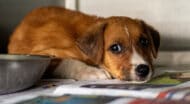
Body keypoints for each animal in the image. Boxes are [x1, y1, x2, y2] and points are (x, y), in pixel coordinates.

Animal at [8, 6, 160, 83]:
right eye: (115, 48)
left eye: (144, 42)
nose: (143, 69)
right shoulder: (45, 53)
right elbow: (69, 61)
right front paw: (92, 71)